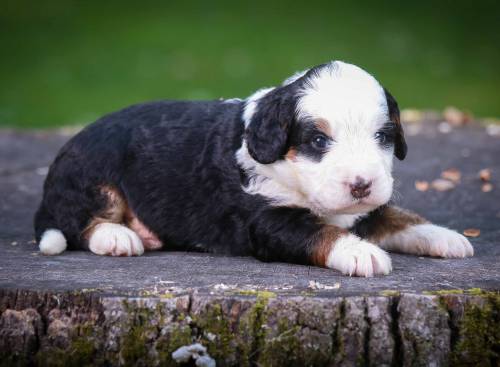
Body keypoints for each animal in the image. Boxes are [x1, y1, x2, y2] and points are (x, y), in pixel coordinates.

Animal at [34, 61, 472, 278]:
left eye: (383, 136)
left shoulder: (367, 208)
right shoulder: (268, 220)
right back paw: (117, 236)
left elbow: (398, 216)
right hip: (92, 173)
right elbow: (320, 232)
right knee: (81, 221)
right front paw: (360, 252)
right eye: (318, 141)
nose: (361, 185)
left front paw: (445, 237)